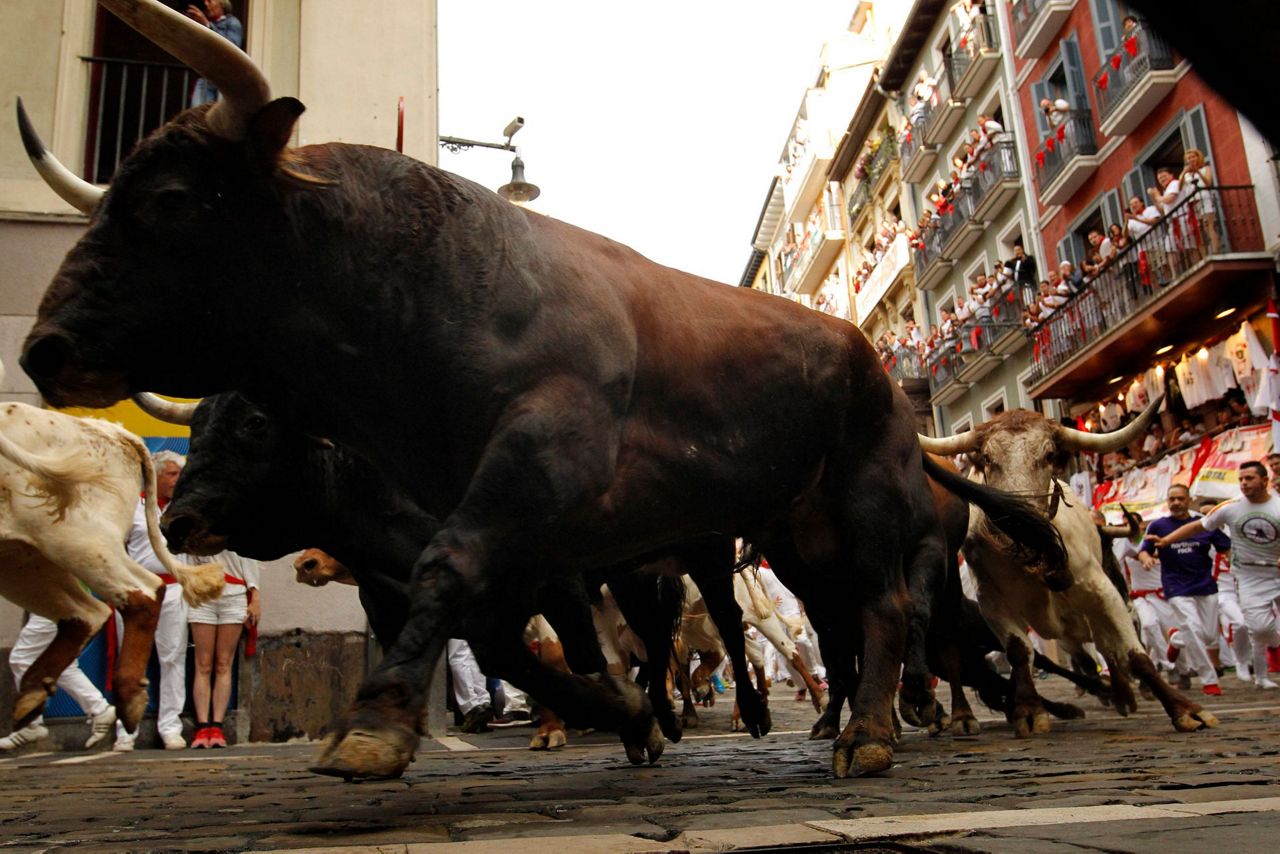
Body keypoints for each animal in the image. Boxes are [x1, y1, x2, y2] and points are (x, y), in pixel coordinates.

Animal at [0, 364, 223, 734]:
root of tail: (113, 431)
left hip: (76, 540)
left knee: (139, 592)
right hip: (31, 559)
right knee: (90, 610)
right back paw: (35, 696)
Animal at [919, 400, 1220, 736]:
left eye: (1049, 455)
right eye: (987, 458)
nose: (1020, 518)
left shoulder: (1102, 591)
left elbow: (1134, 654)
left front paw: (1184, 710)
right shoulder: (991, 601)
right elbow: (1020, 652)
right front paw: (1029, 710)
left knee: (1109, 649)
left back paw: (1123, 694)